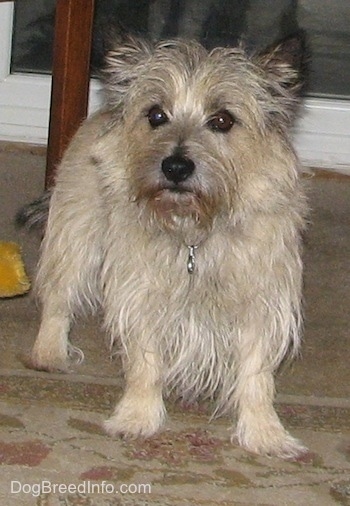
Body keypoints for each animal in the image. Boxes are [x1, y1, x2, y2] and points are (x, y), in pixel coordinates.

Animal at [27, 33, 308, 456]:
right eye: (156, 115)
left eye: (223, 119)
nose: (175, 167)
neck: (193, 232)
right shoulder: (141, 293)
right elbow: (145, 362)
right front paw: (137, 416)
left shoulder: (261, 303)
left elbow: (256, 374)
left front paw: (264, 432)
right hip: (77, 234)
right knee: (59, 295)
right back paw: (49, 353)